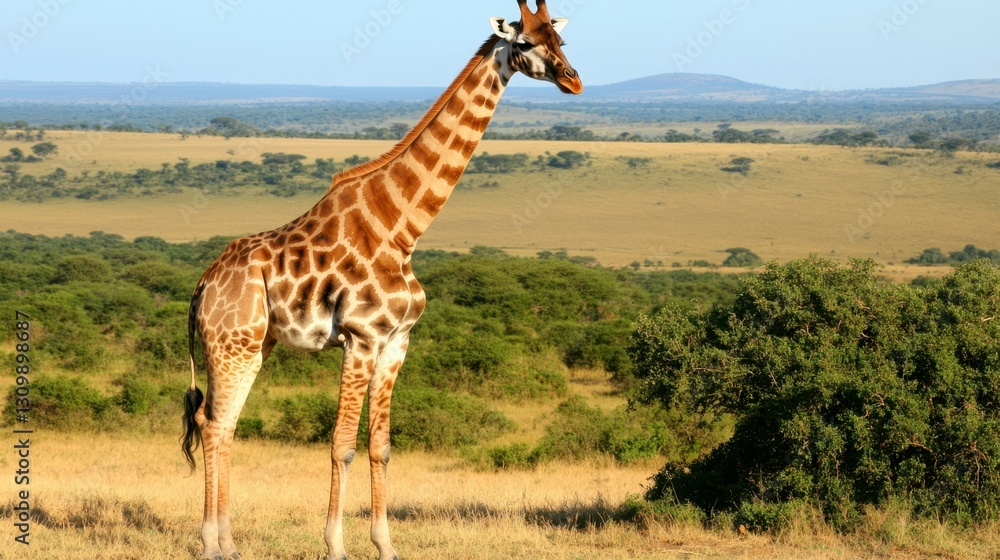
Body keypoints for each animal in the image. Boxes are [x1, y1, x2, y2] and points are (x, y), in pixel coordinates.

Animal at [180, 2, 581, 559]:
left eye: (561, 38)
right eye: (525, 42)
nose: (573, 80)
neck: (403, 229)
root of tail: (203, 284)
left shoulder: (397, 342)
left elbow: (381, 447)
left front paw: (385, 545)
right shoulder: (361, 339)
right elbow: (342, 446)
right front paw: (335, 545)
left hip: (254, 346)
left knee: (221, 425)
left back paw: (229, 544)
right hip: (230, 345)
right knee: (214, 425)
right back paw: (213, 544)